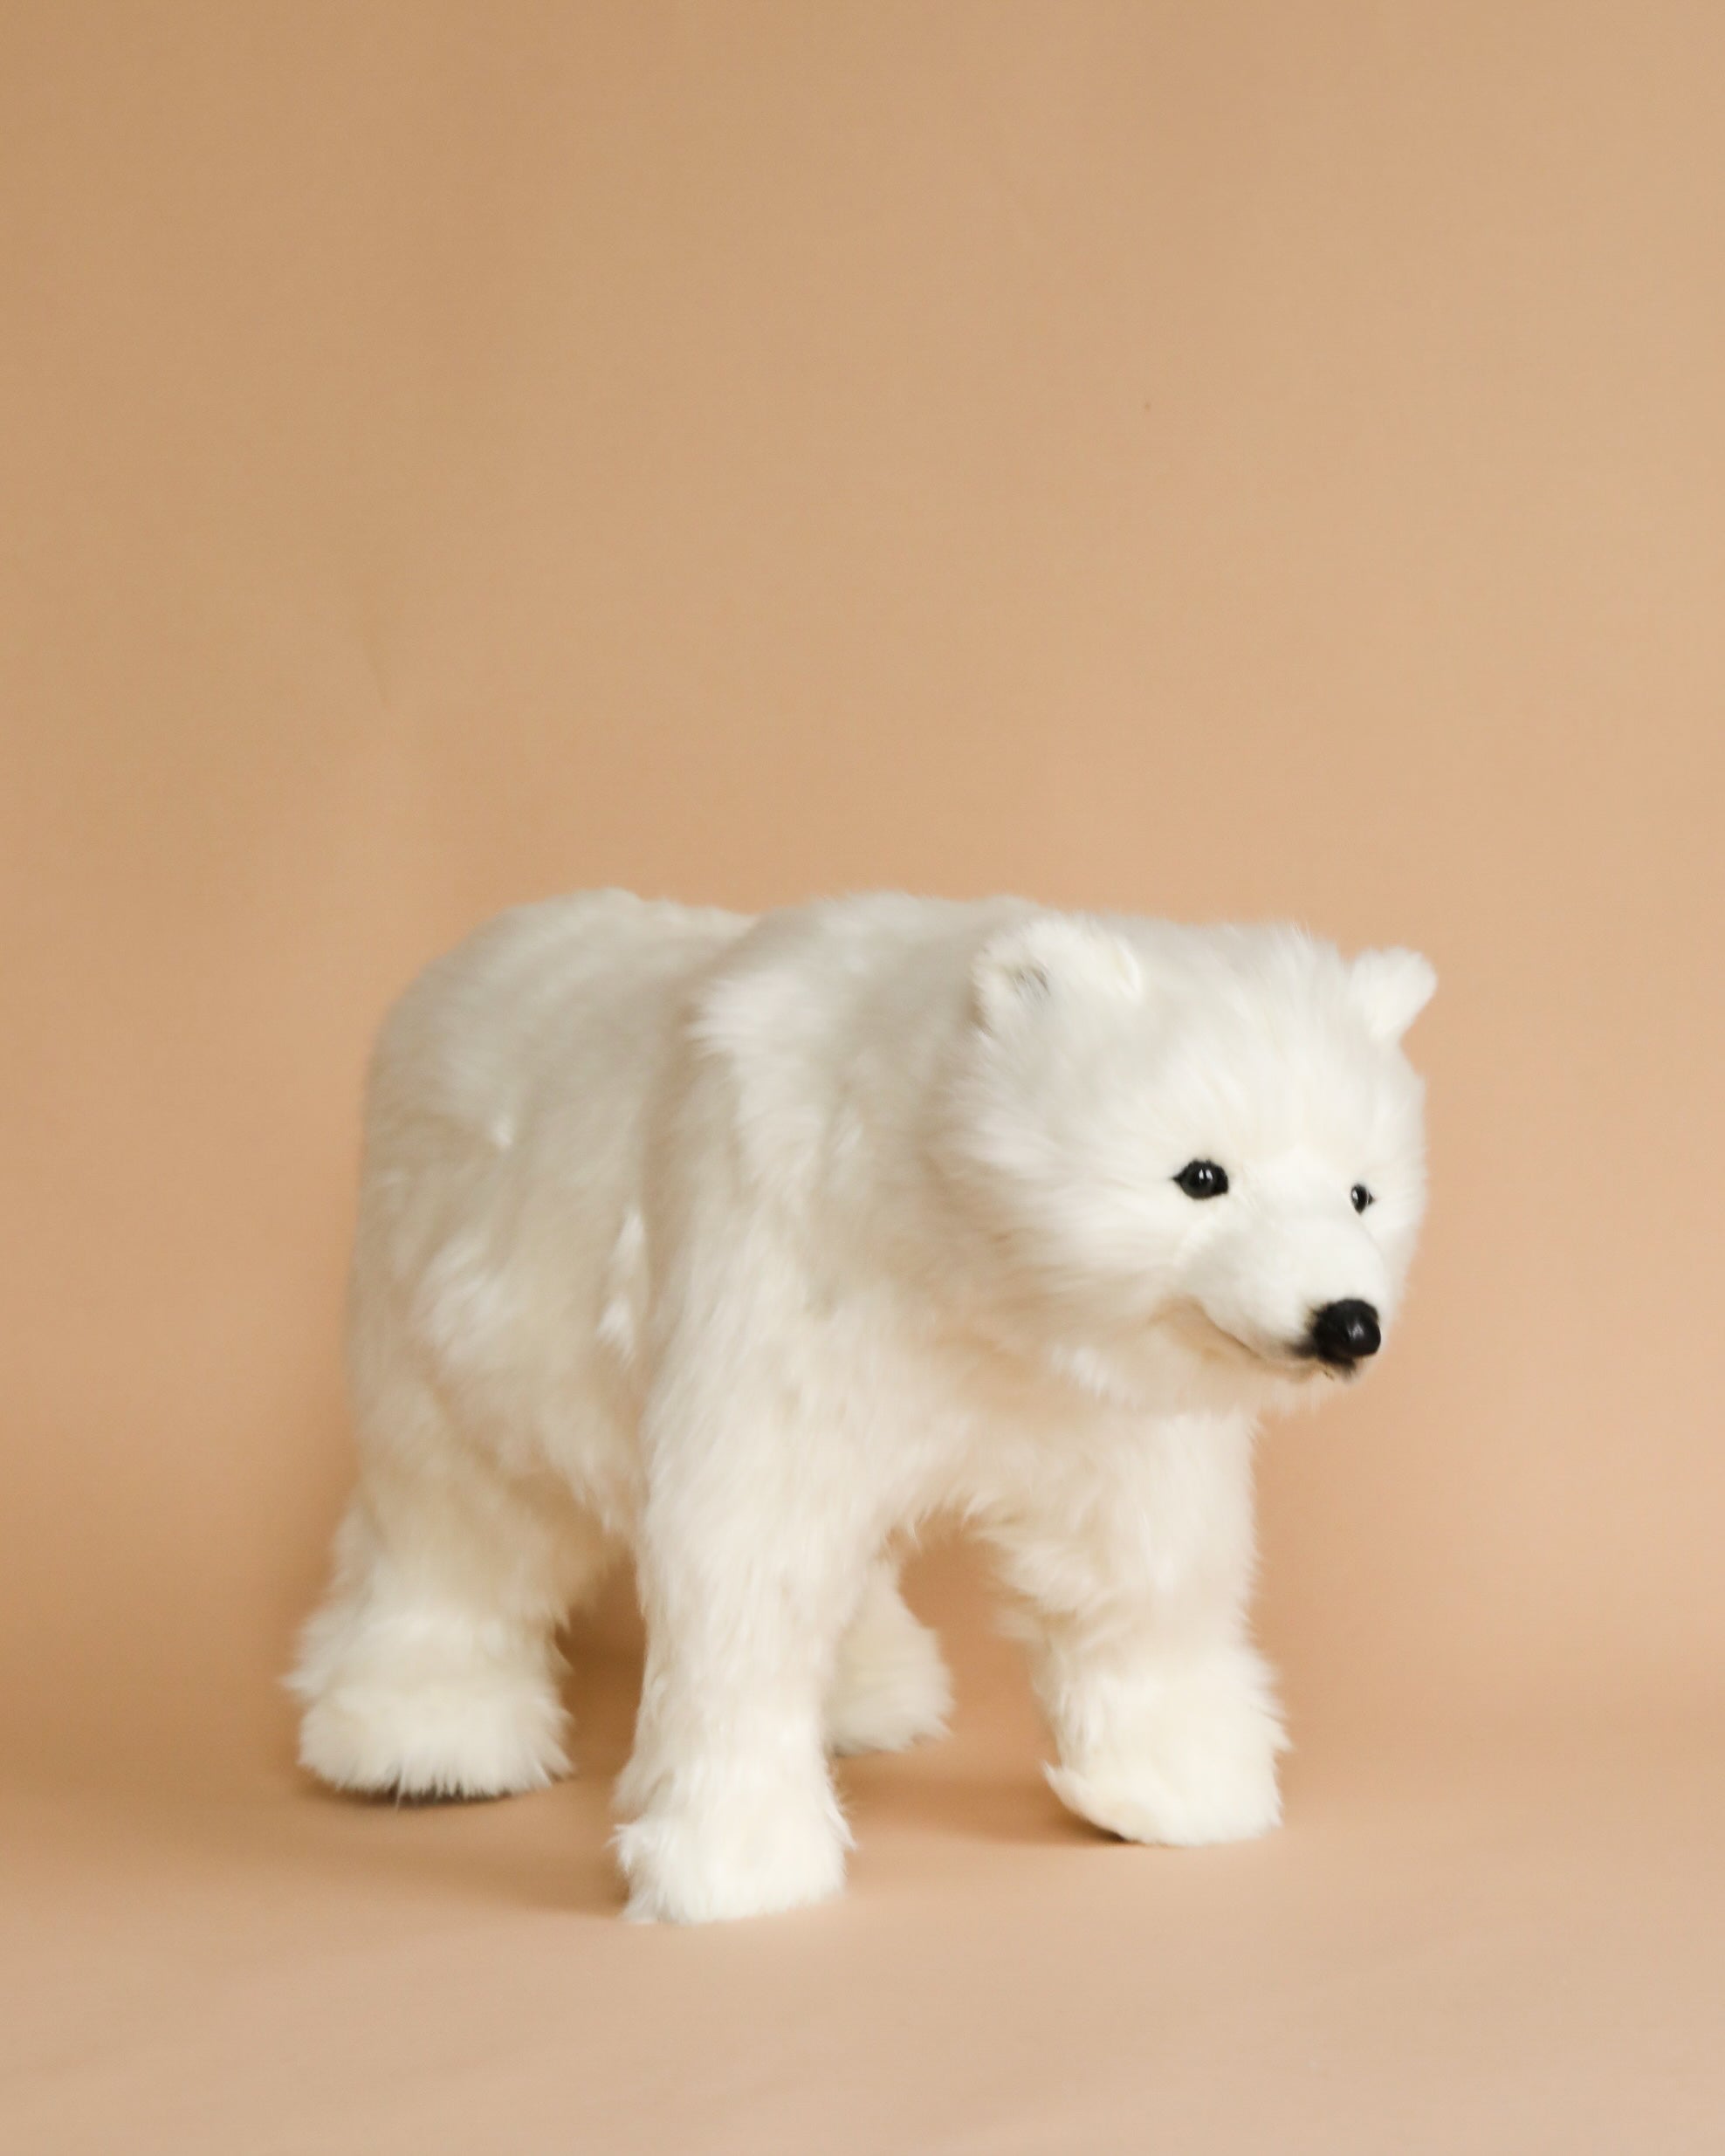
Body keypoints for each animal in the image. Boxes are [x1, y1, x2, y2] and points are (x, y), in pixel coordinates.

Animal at [290, 890, 1434, 1923]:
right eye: (1201, 1175)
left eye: (1360, 1191)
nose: (1344, 1321)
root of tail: (450, 969)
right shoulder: (774, 1279)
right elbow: (745, 1568)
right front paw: (734, 1864)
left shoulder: (1091, 1401)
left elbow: (1138, 1568)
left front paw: (1181, 1788)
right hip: (446, 1307)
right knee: (457, 1514)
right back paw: (425, 1741)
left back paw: (871, 1697)